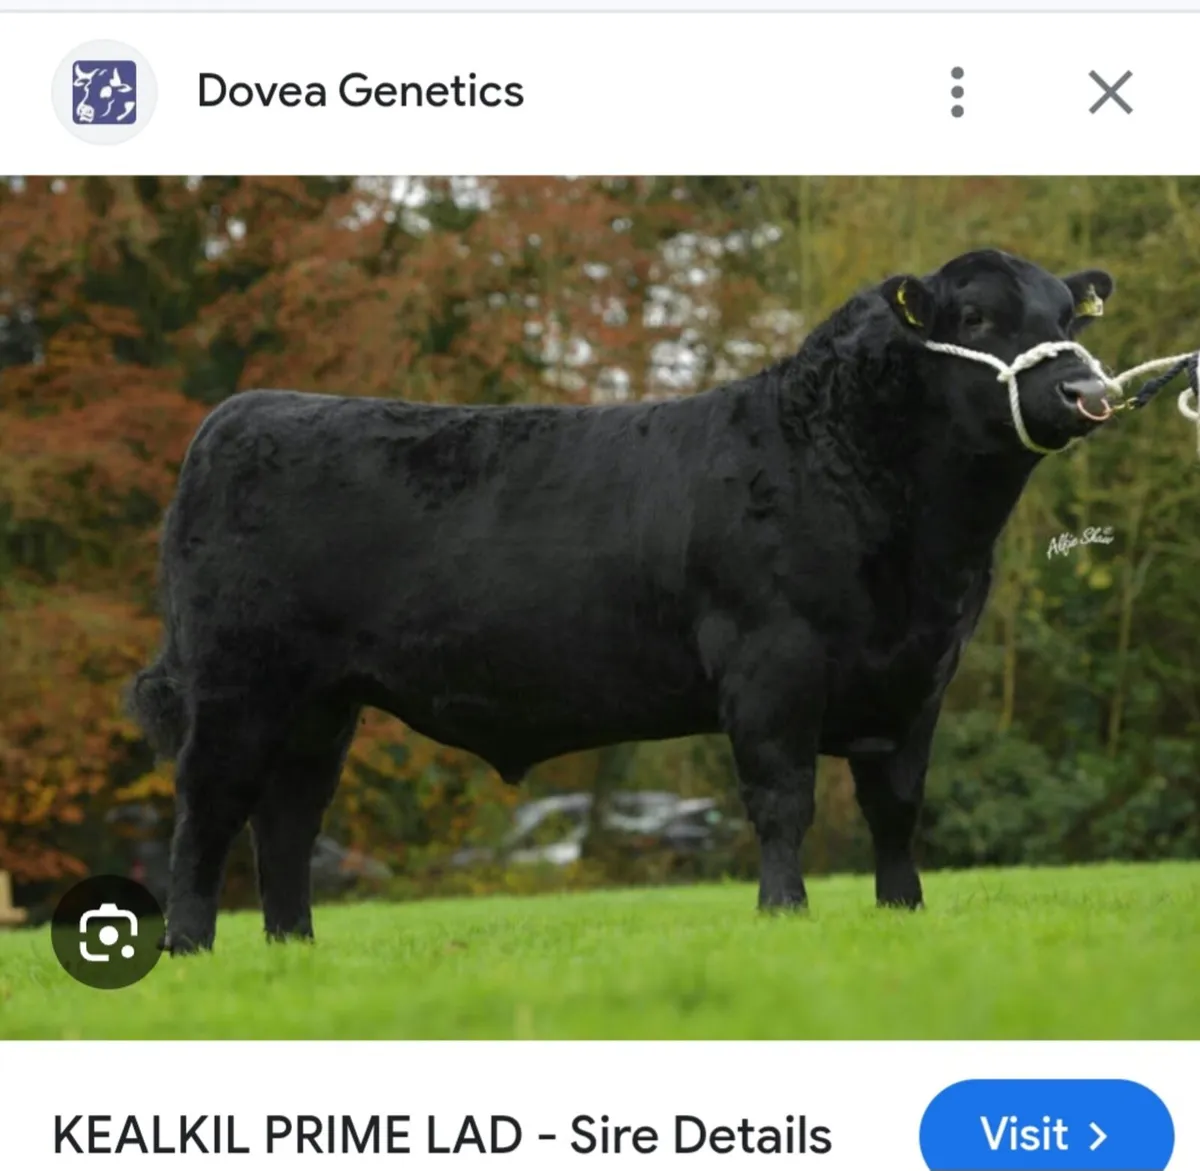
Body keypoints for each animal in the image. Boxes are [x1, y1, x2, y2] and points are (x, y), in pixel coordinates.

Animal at [129, 248, 1116, 954]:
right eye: (978, 317)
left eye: (1069, 317)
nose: (1087, 390)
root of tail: (241, 414)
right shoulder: (771, 663)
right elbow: (782, 798)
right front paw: (784, 913)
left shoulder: (919, 675)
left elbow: (898, 807)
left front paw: (902, 911)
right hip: (237, 679)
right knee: (208, 805)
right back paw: (189, 947)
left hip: (321, 703)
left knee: (288, 818)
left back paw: (293, 946)